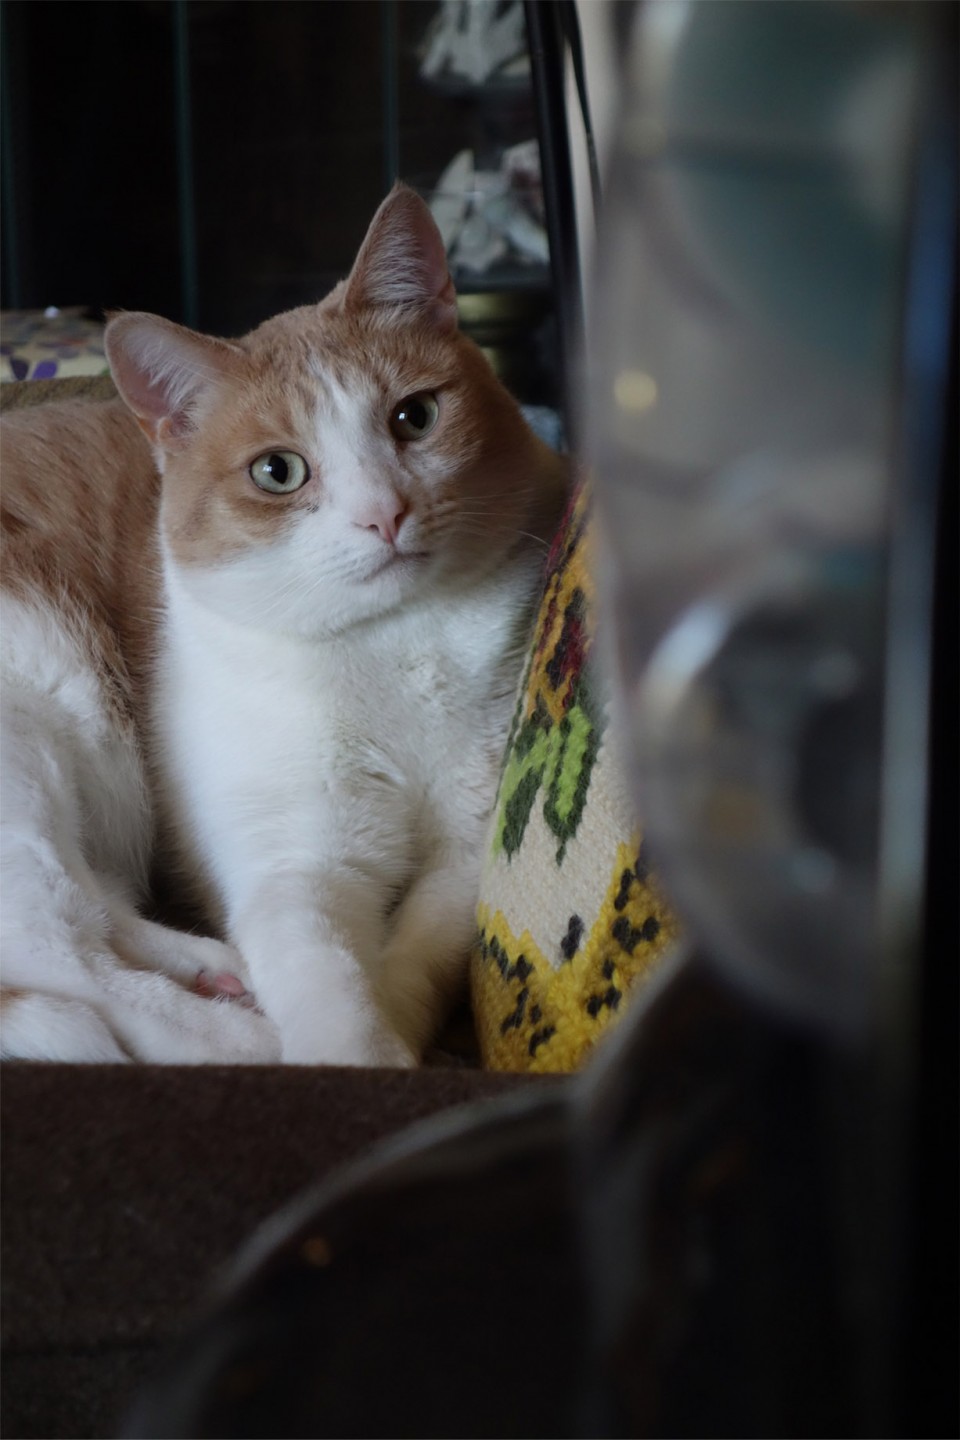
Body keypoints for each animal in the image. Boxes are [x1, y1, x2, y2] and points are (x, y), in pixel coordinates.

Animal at [0, 185, 567, 1065]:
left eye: (415, 417)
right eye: (279, 472)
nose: (384, 513)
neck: (393, 645)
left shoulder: (464, 853)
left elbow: (414, 960)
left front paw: (397, 1028)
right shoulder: (295, 862)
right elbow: (330, 985)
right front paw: (357, 1064)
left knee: (100, 911)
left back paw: (215, 968)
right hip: (31, 746)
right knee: (64, 952)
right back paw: (241, 1035)